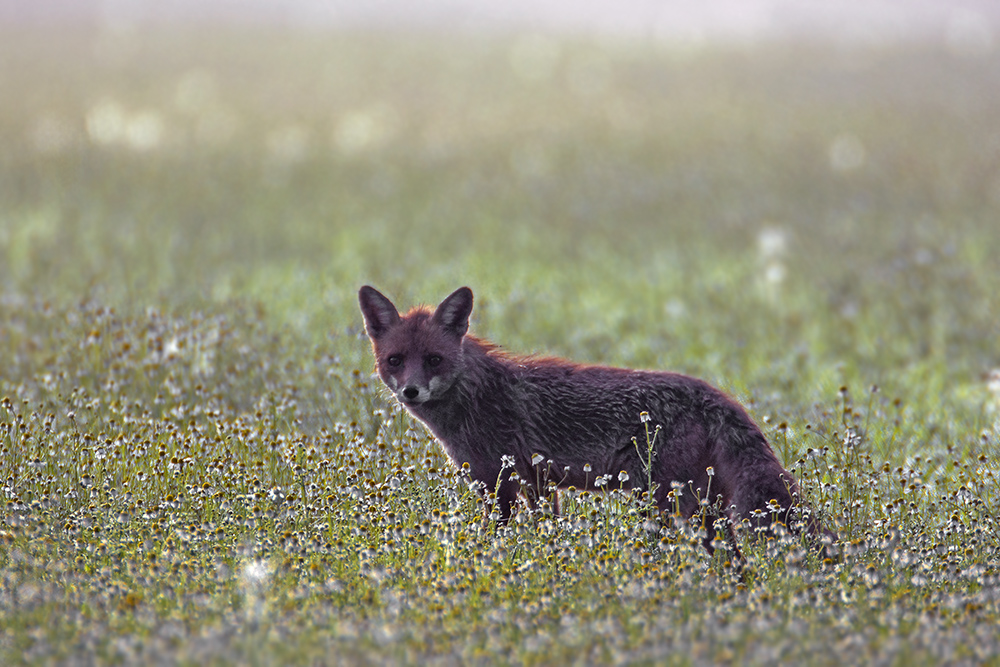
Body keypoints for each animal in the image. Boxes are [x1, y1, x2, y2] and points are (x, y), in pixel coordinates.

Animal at [360, 284, 836, 556]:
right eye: (396, 360)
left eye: (434, 360)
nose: (410, 391)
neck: (472, 397)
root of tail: (717, 395)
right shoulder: (537, 483)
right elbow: (545, 529)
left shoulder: (499, 482)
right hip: (704, 506)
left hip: (668, 504)